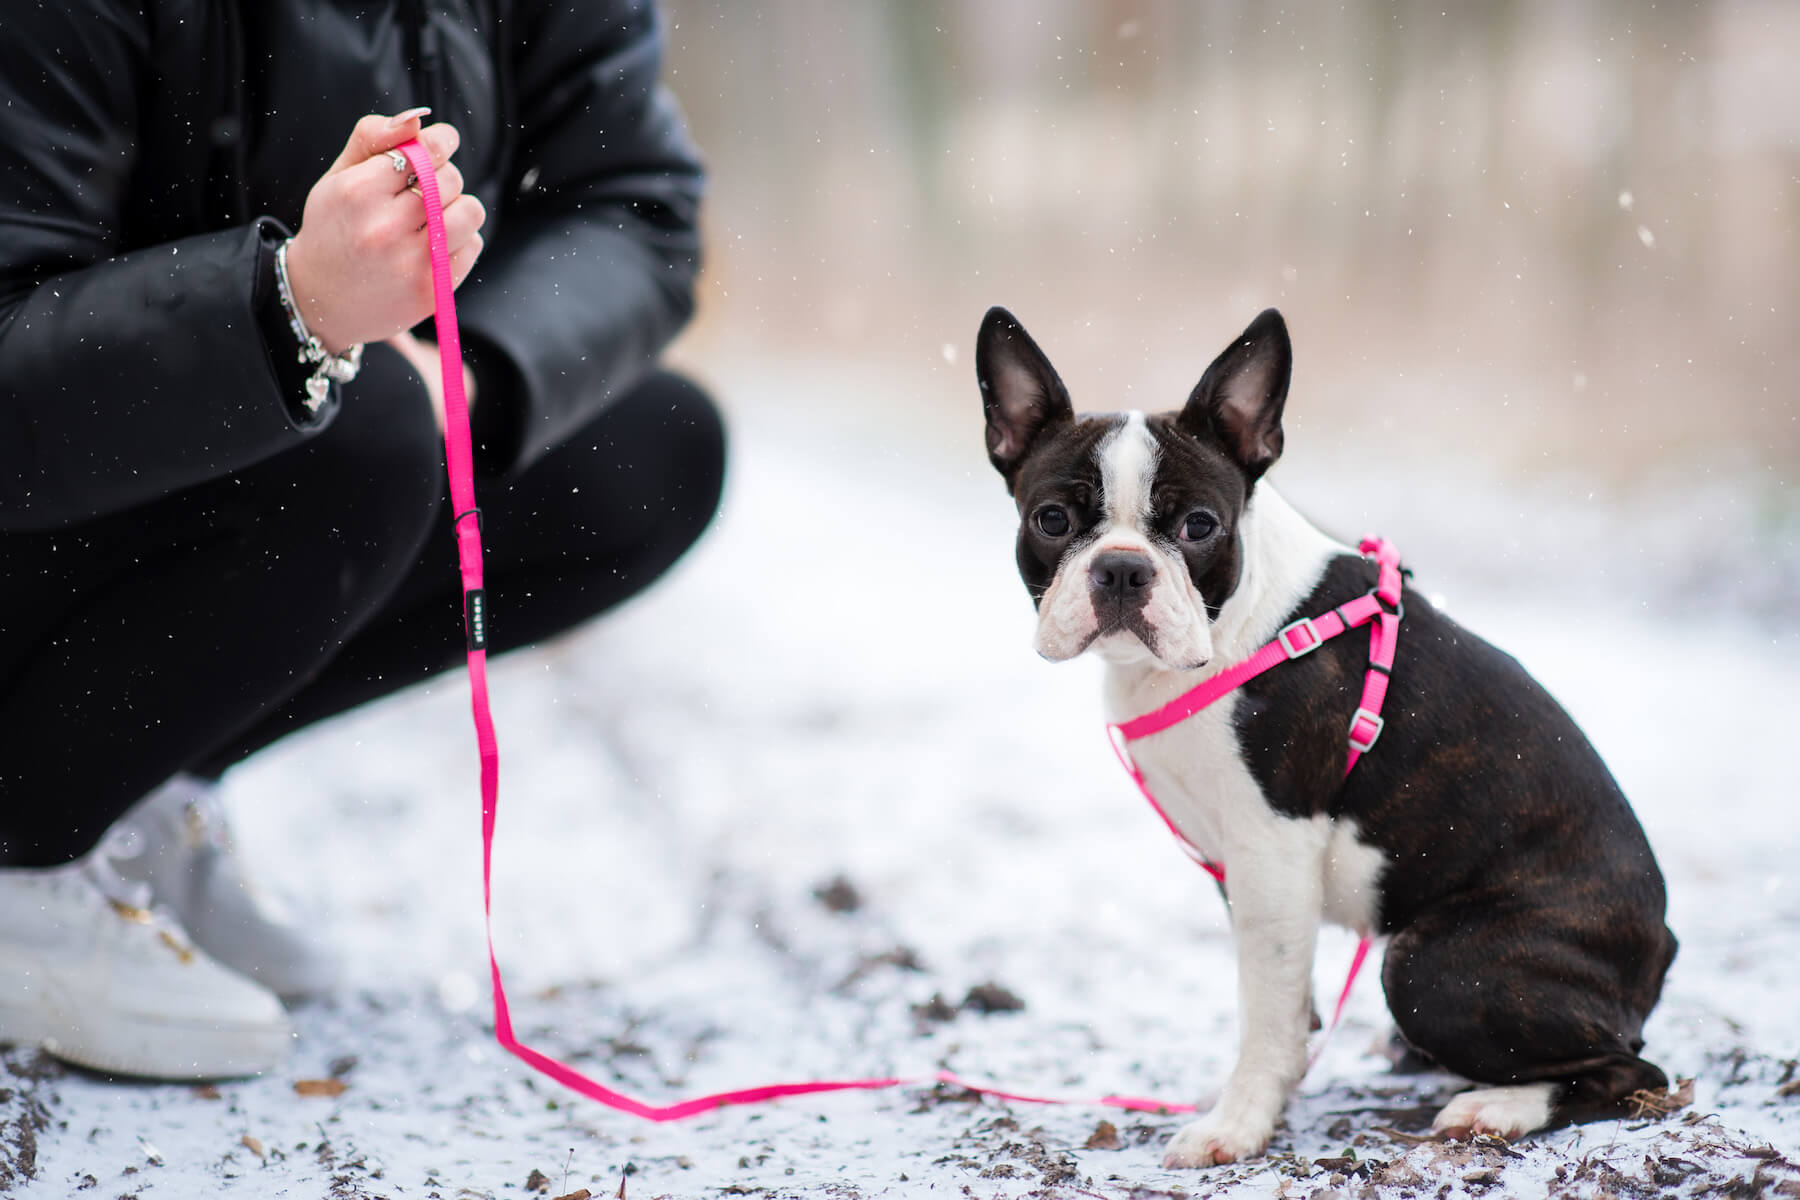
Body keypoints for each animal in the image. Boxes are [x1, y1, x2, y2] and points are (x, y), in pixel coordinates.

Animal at [979, 307, 1677, 1165]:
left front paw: (1238, 1124)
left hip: (1432, 965)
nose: (1120, 569)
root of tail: (1661, 944)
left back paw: (1499, 1106)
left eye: (1200, 526)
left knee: (1630, 1069)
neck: (1230, 628)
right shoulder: (1238, 869)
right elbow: (1284, 1000)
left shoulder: (1273, 850)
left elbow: (1269, 1006)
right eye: (1052, 520)